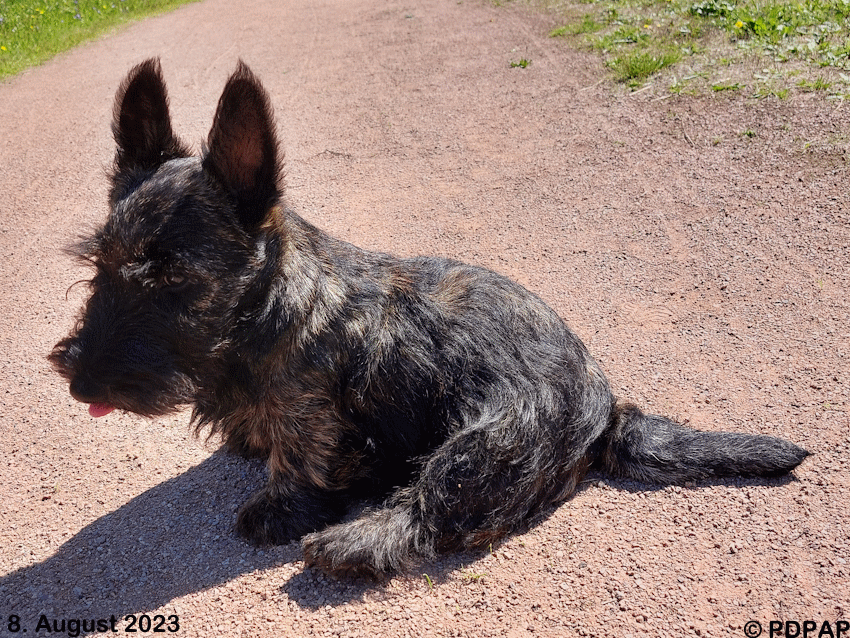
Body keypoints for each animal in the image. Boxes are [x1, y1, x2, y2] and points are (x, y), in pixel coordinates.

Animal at [49, 60, 804, 580]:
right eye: (98, 266)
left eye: (175, 280)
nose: (80, 382)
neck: (266, 317)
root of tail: (608, 411)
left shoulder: (312, 414)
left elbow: (301, 462)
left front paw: (280, 510)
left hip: (485, 440)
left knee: (431, 509)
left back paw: (349, 542)